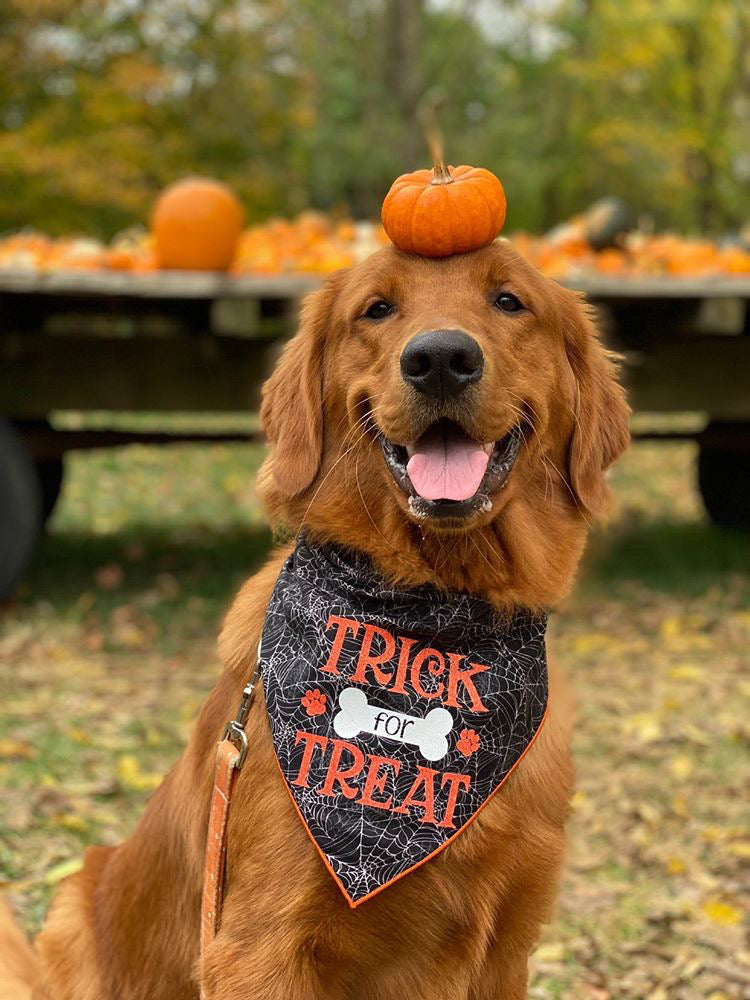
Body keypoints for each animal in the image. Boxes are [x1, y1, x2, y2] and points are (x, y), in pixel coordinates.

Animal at [0, 242, 632, 1000]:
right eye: (377, 308)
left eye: (509, 301)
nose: (440, 358)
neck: (433, 618)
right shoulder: (258, 945)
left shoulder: (509, 945)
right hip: (74, 911)